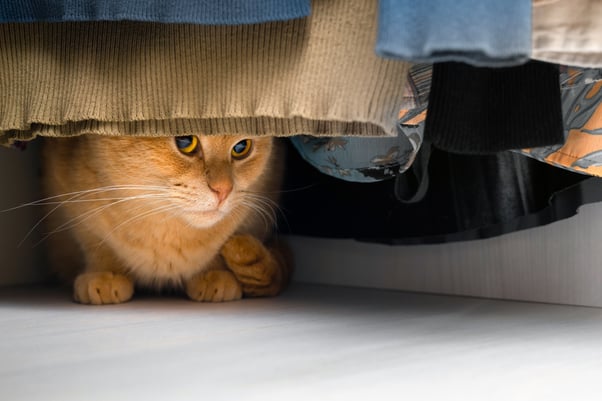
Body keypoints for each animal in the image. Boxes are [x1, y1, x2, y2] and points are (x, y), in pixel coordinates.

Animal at [41, 134, 290, 304]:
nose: (223, 190)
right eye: (185, 141)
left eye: (241, 147)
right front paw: (104, 273)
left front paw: (215, 273)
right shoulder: (74, 206)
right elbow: (97, 244)